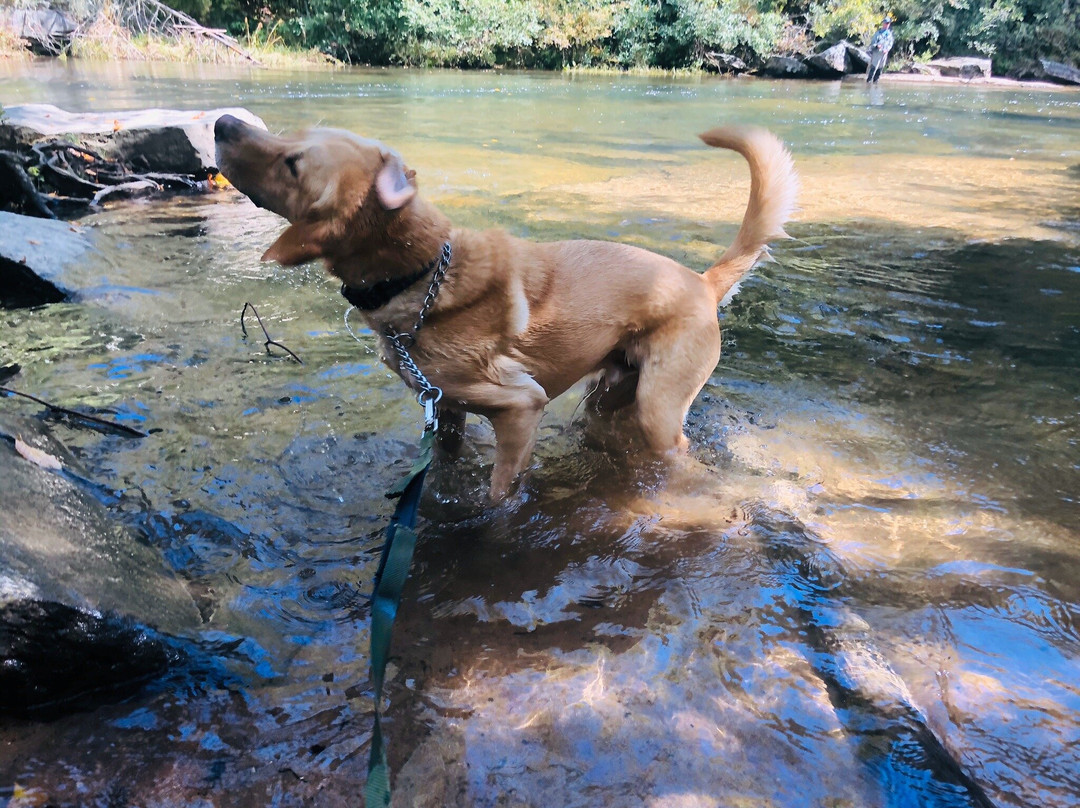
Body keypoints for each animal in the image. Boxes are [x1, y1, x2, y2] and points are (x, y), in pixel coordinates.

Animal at [214, 116, 799, 501]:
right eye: (293, 133)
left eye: (293, 164)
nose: (222, 122)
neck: (422, 275)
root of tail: (702, 281)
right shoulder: (445, 410)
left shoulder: (521, 406)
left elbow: (498, 495)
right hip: (609, 394)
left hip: (659, 407)